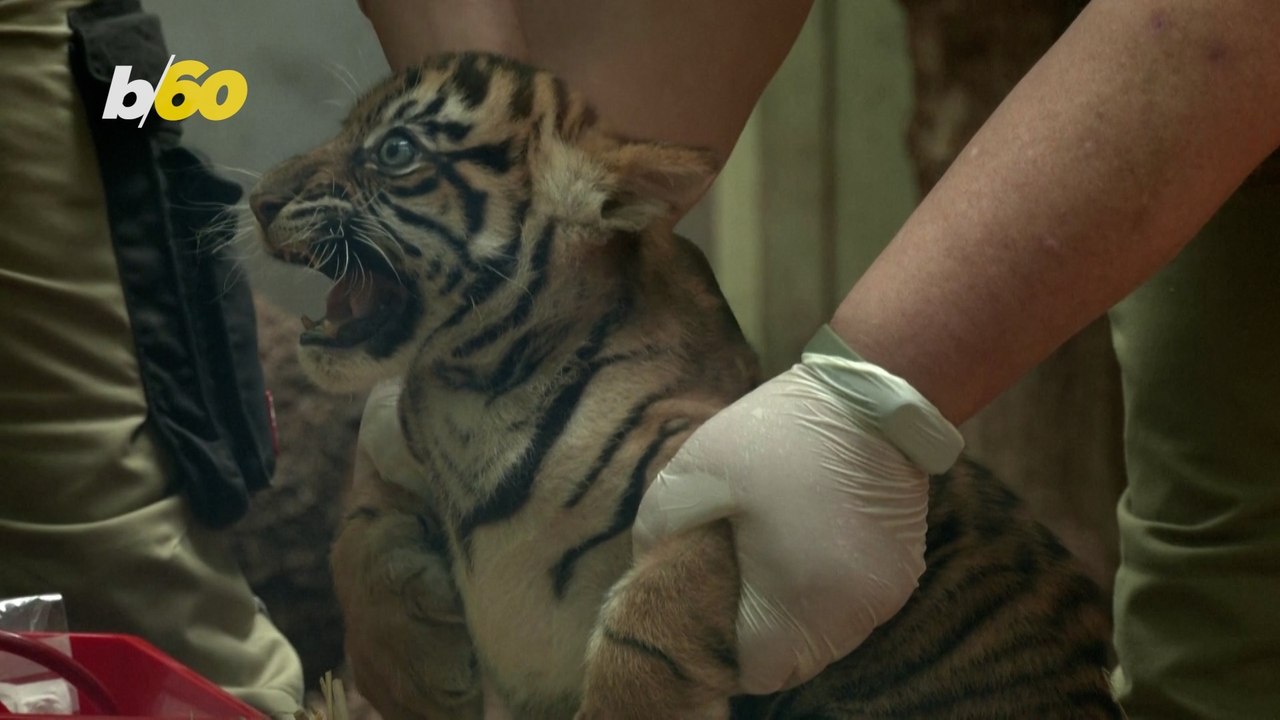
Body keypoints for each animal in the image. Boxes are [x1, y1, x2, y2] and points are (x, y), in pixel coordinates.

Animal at [250, 52, 1123, 719]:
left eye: (394, 150)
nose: (258, 200)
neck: (474, 389)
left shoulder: (700, 485)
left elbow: (645, 629)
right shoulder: (402, 461)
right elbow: (357, 533)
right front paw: (407, 679)